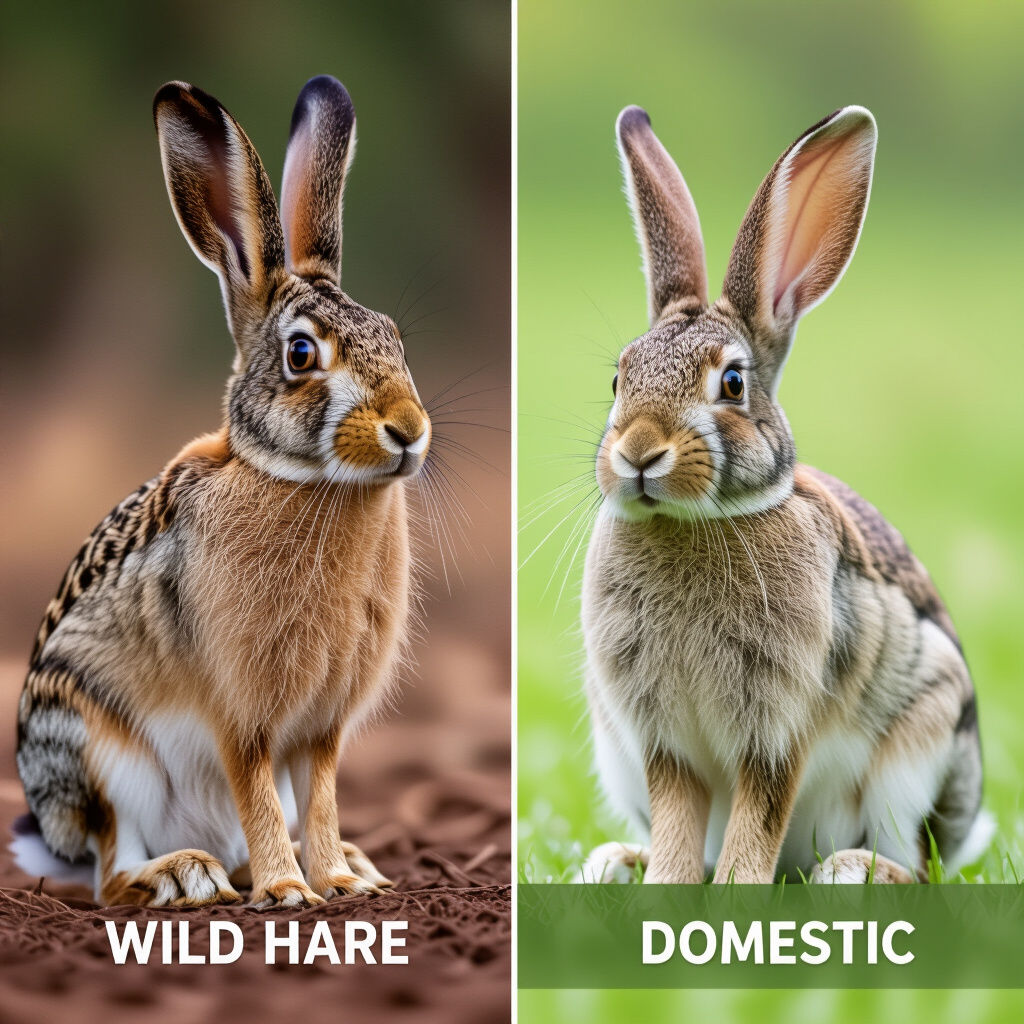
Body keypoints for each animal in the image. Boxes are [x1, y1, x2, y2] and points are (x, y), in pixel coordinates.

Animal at [12, 75, 430, 907]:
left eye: (395, 339)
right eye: (301, 354)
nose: (409, 430)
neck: (301, 479)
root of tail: (51, 834)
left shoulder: (322, 728)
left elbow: (320, 795)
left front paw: (340, 880)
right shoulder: (240, 714)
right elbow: (258, 789)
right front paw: (290, 891)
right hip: (100, 754)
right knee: (111, 873)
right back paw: (186, 876)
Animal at [577, 105, 992, 886]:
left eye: (733, 384)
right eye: (619, 379)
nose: (638, 453)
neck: (695, 523)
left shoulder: (776, 730)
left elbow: (759, 815)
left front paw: (737, 891)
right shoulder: (660, 741)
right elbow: (680, 822)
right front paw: (667, 886)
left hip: (920, 746)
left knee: (920, 870)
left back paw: (850, 872)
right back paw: (614, 862)